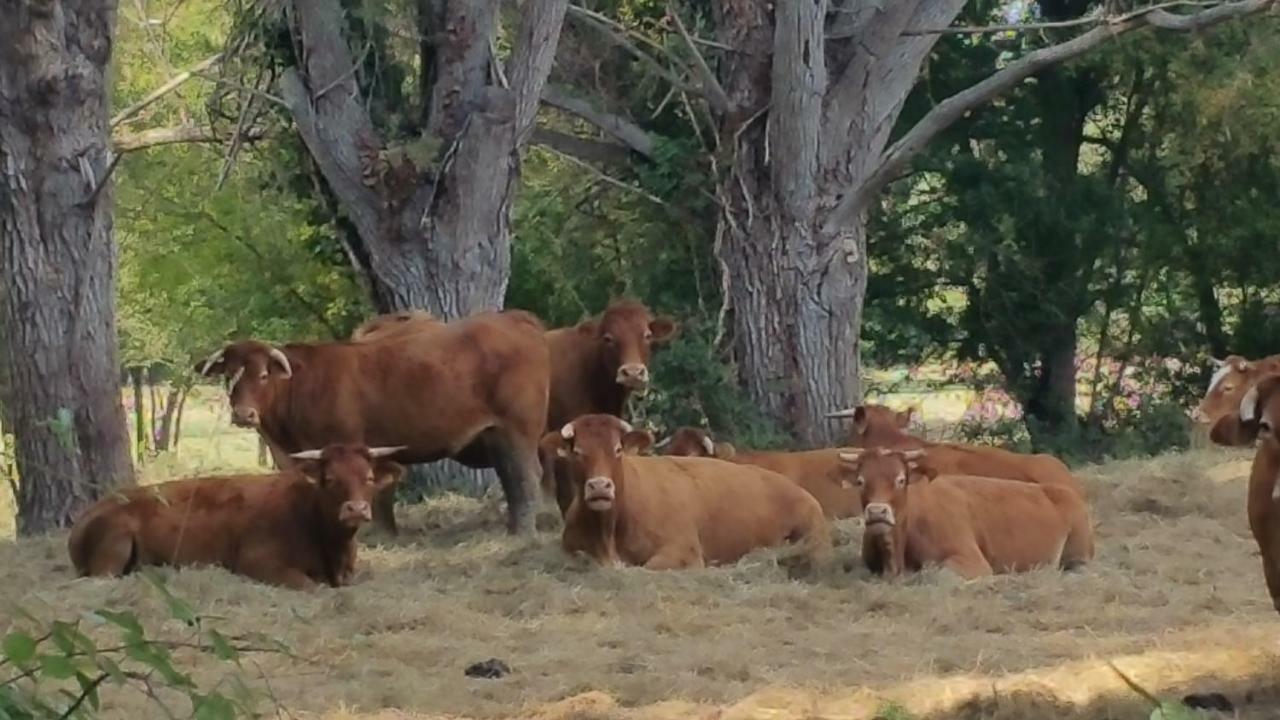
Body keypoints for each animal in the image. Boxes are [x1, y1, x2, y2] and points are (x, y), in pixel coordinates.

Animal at [66, 443, 404, 589]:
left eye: (369, 478)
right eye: (330, 479)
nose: (356, 508)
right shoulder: (256, 560)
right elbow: (309, 585)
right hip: (114, 547)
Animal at [197, 308, 547, 532]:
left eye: (264, 374)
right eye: (228, 375)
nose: (243, 414)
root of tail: (513, 319)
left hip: (518, 431)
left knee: (527, 477)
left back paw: (524, 531)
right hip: (496, 436)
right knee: (511, 478)